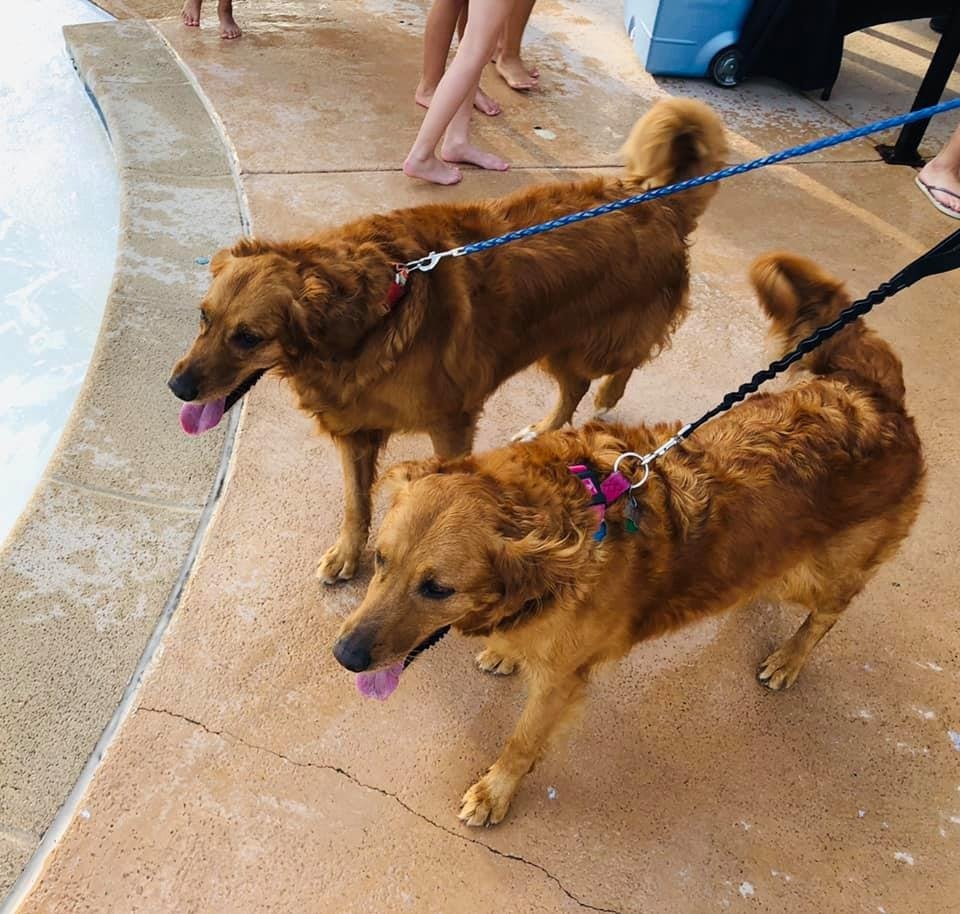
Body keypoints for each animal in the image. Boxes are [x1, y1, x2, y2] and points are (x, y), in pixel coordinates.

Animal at [171, 100, 728, 580]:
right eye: (203, 317)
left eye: (248, 337)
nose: (177, 388)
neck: (368, 313)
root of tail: (661, 205)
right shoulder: (355, 428)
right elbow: (355, 502)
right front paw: (348, 553)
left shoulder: (451, 423)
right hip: (555, 341)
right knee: (572, 388)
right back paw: (544, 428)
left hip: (595, 338)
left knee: (622, 363)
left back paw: (610, 393)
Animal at [334, 251, 928, 828]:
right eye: (380, 560)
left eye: (437, 589)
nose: (344, 656)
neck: (566, 520)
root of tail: (870, 396)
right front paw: (504, 653)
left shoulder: (561, 683)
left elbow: (522, 743)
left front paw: (494, 792)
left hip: (825, 573)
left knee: (828, 614)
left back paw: (789, 658)